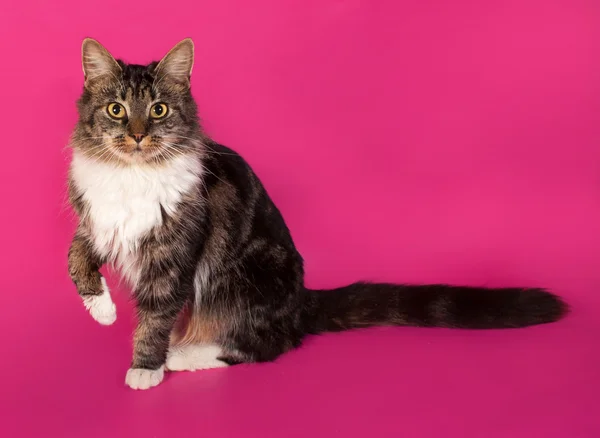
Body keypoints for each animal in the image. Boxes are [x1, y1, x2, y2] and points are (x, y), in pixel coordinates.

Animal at [68, 39, 568, 392]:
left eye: (158, 110)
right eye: (116, 109)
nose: (137, 136)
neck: (131, 175)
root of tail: (301, 300)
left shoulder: (173, 255)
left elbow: (155, 315)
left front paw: (145, 367)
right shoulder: (95, 219)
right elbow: (76, 256)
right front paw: (102, 309)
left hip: (241, 279)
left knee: (267, 343)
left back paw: (185, 353)